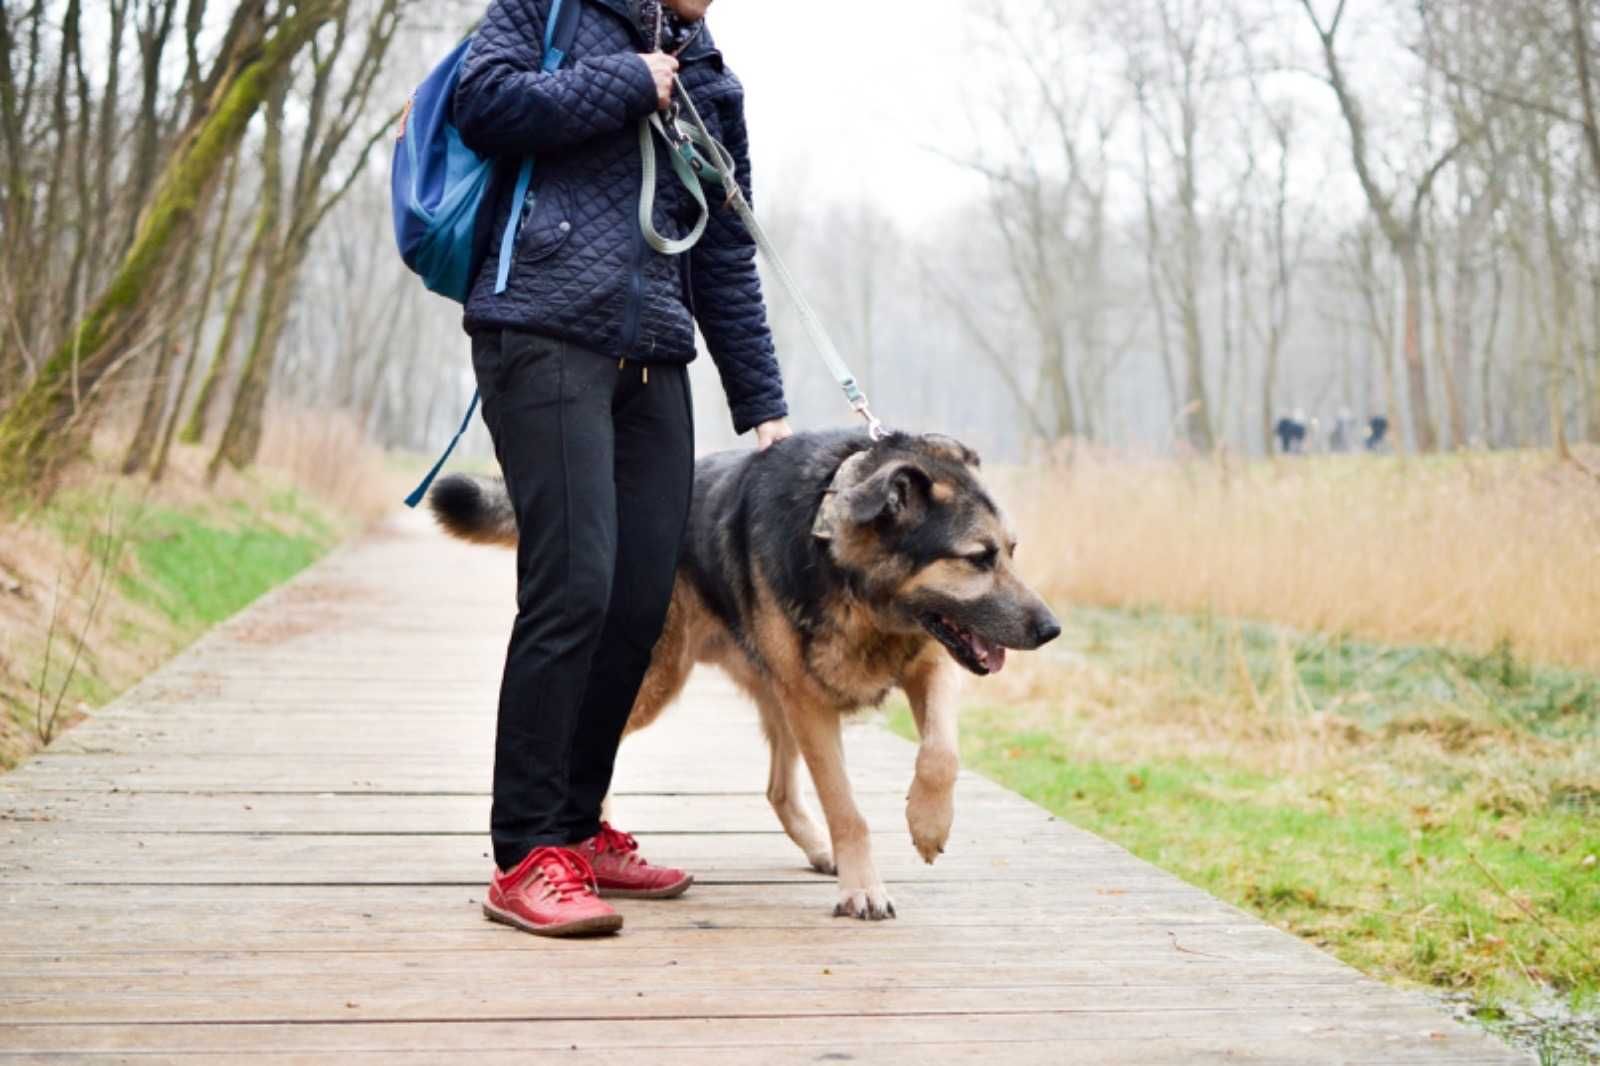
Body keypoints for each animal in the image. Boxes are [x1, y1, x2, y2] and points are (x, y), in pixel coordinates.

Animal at [432, 428, 1068, 915]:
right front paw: (863, 888)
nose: (1052, 629)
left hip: (772, 691)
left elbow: (942, 755)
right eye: (978, 558)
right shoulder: (813, 705)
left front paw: (928, 825)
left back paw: (819, 849)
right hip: (654, 678)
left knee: (778, 789)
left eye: (1012, 550)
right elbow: (848, 809)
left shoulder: (929, 664)